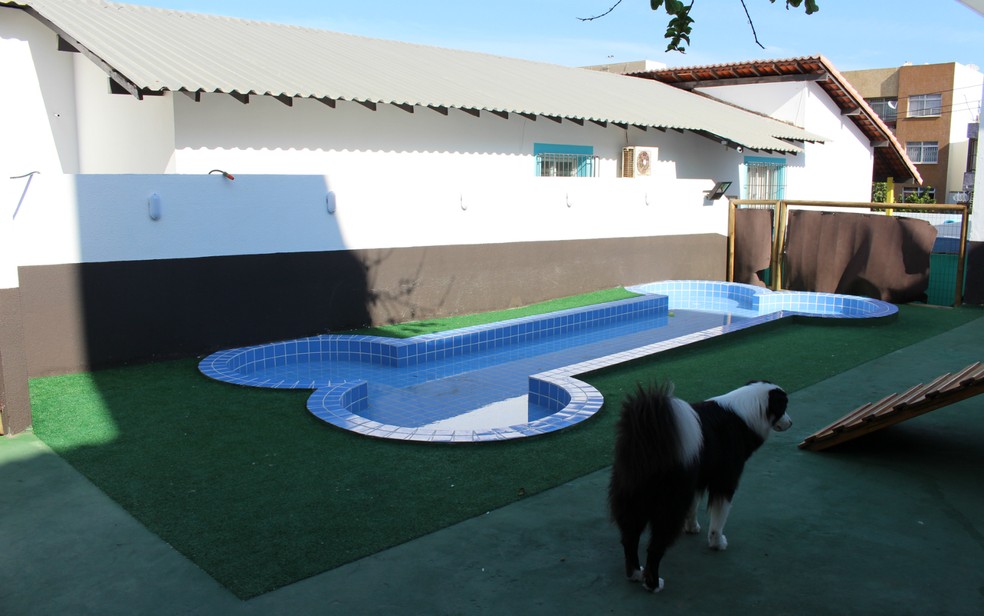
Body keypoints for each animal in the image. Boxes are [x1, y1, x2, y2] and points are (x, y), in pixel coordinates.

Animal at [608, 380, 792, 592]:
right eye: (783, 407)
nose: (791, 422)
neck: (749, 411)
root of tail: (647, 435)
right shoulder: (725, 482)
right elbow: (718, 519)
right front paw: (717, 542)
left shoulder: (696, 479)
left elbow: (693, 506)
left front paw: (691, 527)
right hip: (668, 505)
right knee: (654, 548)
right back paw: (653, 584)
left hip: (632, 500)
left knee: (629, 539)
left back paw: (636, 574)